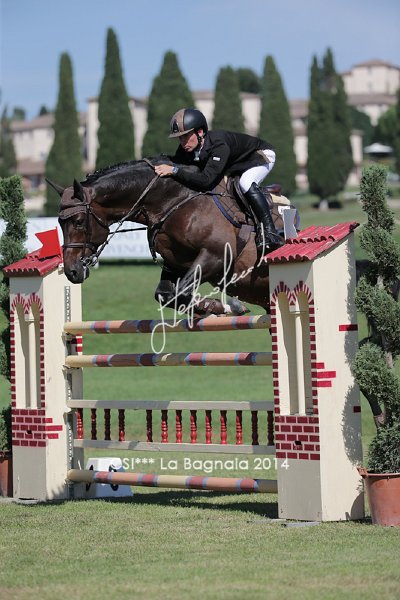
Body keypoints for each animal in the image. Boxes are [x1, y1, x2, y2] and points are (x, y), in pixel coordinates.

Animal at [54, 157, 286, 316]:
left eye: (78, 221)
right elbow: (165, 295)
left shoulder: (216, 255)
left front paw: (227, 306)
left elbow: (180, 292)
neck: (172, 201)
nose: (72, 271)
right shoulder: (175, 262)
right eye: (60, 223)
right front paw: (212, 308)